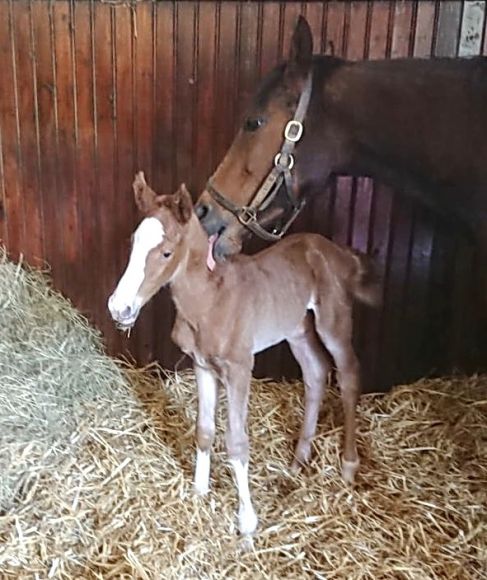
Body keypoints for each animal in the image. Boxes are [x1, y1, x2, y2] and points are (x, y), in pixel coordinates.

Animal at [109, 172, 382, 536]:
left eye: (166, 253)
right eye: (132, 244)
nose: (119, 308)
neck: (209, 300)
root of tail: (334, 250)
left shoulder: (240, 367)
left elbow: (237, 442)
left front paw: (247, 523)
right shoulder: (202, 365)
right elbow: (204, 430)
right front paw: (199, 493)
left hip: (332, 321)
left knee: (348, 374)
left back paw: (349, 466)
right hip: (297, 329)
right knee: (316, 372)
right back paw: (298, 461)